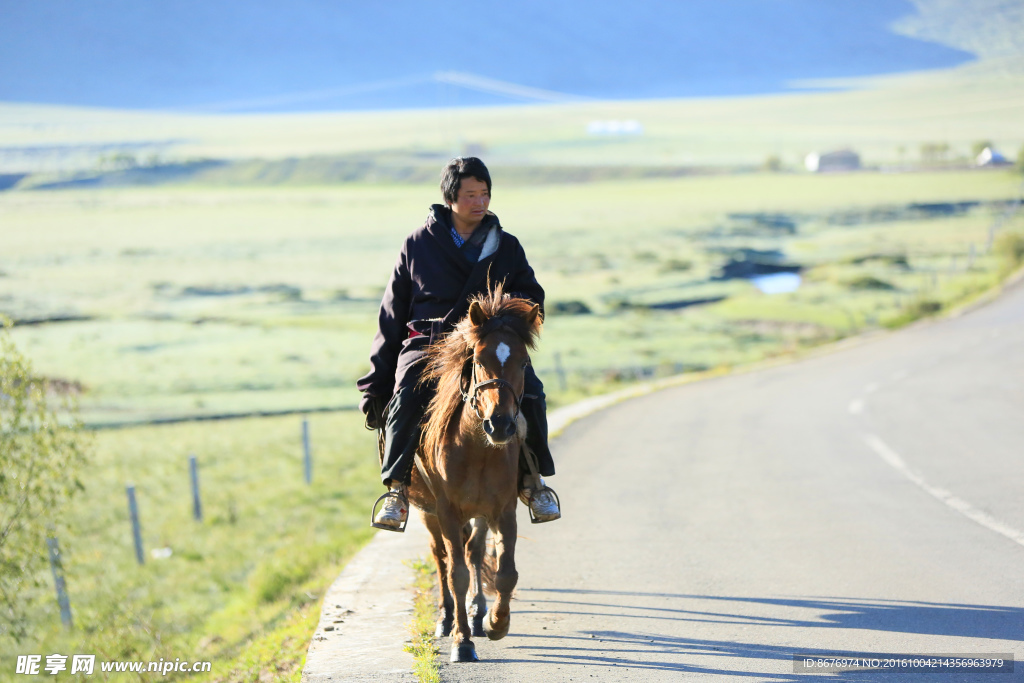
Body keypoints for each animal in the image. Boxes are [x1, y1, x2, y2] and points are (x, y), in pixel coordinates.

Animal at [405, 282, 540, 663]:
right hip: (428, 512)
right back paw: (447, 617)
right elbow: (457, 575)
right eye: (479, 360)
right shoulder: (447, 512)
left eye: (524, 362)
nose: (501, 425)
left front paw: (496, 622)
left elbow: (505, 572)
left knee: (474, 551)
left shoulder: (504, 510)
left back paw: (478, 614)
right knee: (442, 557)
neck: (477, 449)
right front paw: (461, 641)